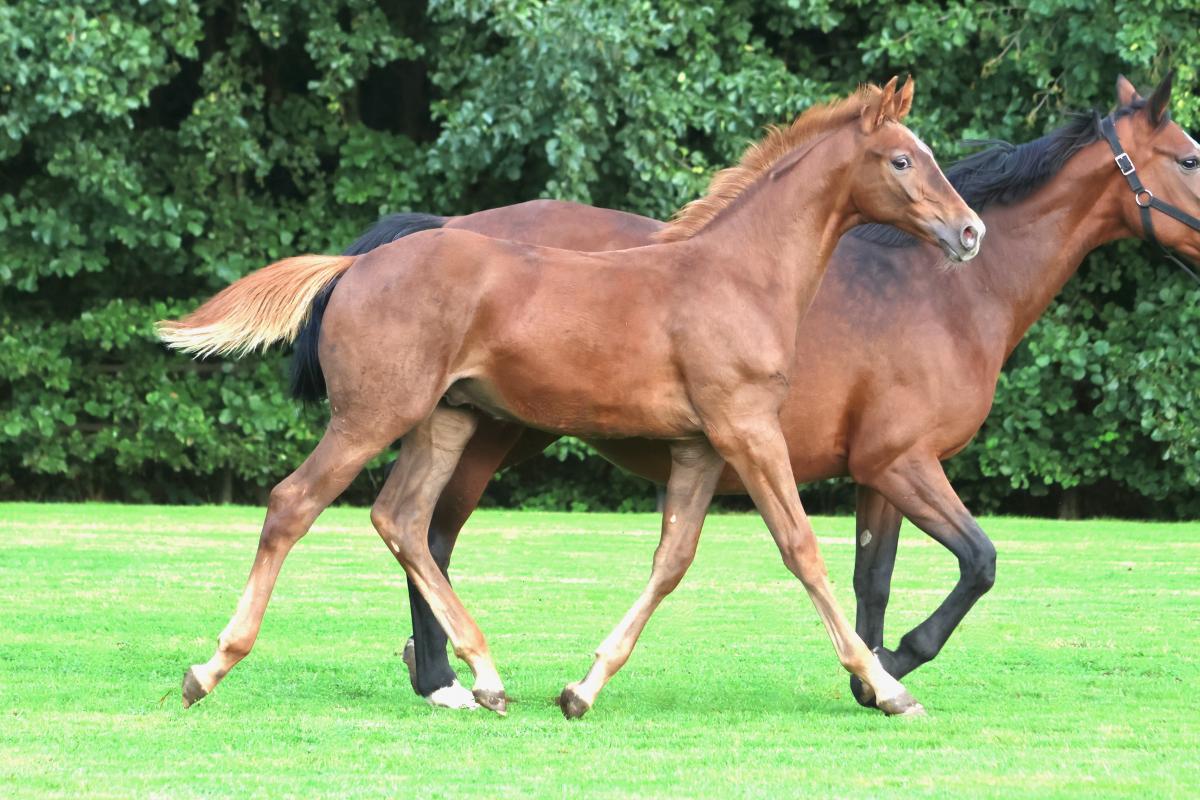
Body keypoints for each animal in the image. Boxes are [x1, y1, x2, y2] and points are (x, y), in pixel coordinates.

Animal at [159, 78, 983, 718]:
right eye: (903, 159)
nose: (970, 232)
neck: (738, 275)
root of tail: (354, 265)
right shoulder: (747, 429)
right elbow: (802, 549)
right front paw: (888, 686)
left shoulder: (698, 447)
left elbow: (672, 560)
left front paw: (582, 688)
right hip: (371, 418)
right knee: (295, 504)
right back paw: (211, 668)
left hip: (446, 422)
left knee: (404, 521)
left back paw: (484, 678)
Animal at [337, 72, 1200, 712]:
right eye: (1189, 159)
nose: (969, 235)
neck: (945, 293)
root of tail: (443, 229)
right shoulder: (902, 462)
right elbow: (979, 563)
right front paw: (891, 666)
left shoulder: (876, 476)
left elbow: (873, 577)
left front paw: (870, 671)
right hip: (493, 434)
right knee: (431, 532)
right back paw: (444, 678)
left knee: (424, 532)